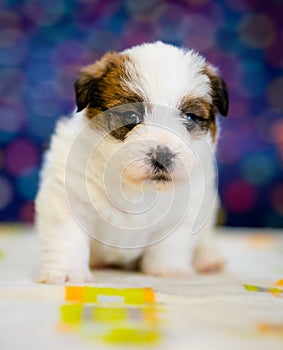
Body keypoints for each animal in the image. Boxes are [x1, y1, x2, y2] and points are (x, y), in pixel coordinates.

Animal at [36, 41, 230, 284]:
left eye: (189, 118)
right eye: (130, 117)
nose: (163, 155)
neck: (137, 189)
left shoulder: (186, 212)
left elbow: (172, 244)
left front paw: (167, 269)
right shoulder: (67, 199)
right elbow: (66, 238)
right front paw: (66, 273)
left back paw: (208, 258)